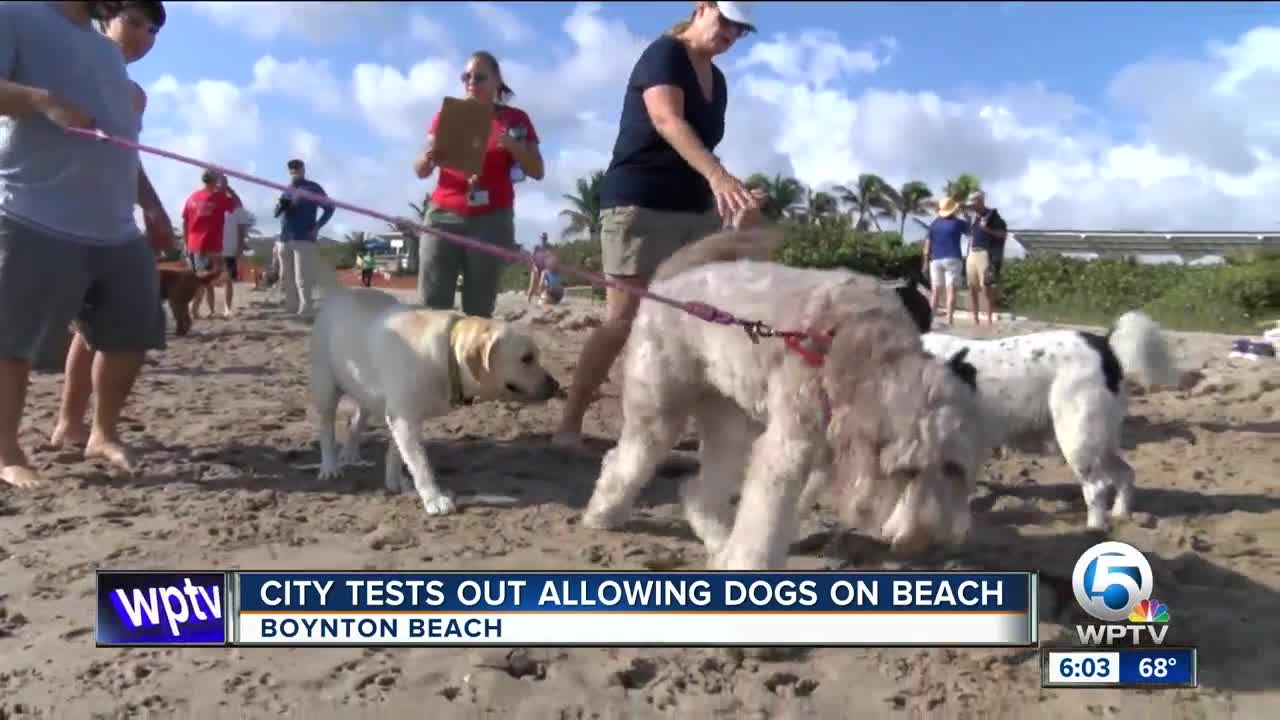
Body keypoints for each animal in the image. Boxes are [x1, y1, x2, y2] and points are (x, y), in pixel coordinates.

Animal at [307, 283, 563, 512]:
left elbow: (397, 454)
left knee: (358, 419)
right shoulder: (404, 418)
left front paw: (395, 482)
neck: (446, 354)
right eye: (527, 358)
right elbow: (421, 463)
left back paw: (350, 453)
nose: (556, 384)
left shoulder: (401, 417)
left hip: (365, 390)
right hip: (326, 386)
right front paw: (434, 498)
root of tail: (339, 293)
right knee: (326, 428)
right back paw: (329, 466)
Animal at [586, 228, 983, 566]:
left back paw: (718, 541)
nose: (928, 539)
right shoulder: (787, 452)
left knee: (700, 490)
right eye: (906, 472)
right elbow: (763, 528)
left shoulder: (820, 452)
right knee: (624, 461)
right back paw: (602, 514)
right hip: (659, 407)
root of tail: (672, 278)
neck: (856, 349)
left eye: (953, 468)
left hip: (730, 424)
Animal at [921, 311, 1177, 530]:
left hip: (1076, 438)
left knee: (1097, 487)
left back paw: (1093, 530)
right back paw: (1120, 514)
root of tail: (1104, 345)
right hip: (1100, 440)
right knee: (1125, 473)